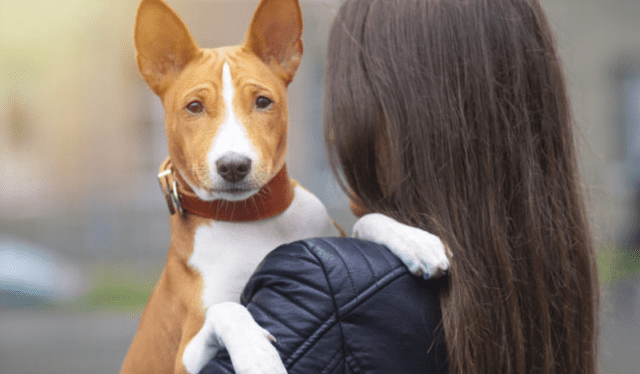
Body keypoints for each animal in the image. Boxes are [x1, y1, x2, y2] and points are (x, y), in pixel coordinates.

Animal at [121, 0, 450, 374]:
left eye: (263, 102)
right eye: (194, 107)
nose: (233, 165)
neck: (252, 219)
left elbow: (364, 220)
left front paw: (415, 241)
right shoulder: (183, 358)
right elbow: (227, 309)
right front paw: (257, 357)